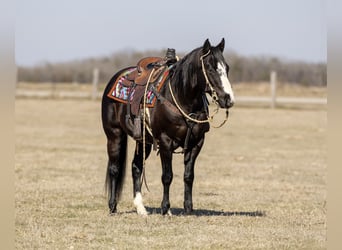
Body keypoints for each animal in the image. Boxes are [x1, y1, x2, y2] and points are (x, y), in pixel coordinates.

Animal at [101, 38, 235, 215]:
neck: (182, 99)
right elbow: (167, 176)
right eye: (210, 67)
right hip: (114, 135)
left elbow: (189, 176)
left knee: (136, 167)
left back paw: (141, 208)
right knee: (114, 168)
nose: (228, 99)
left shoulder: (196, 143)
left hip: (144, 141)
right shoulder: (165, 142)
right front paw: (165, 208)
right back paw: (112, 206)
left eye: (227, 67)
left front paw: (188, 208)